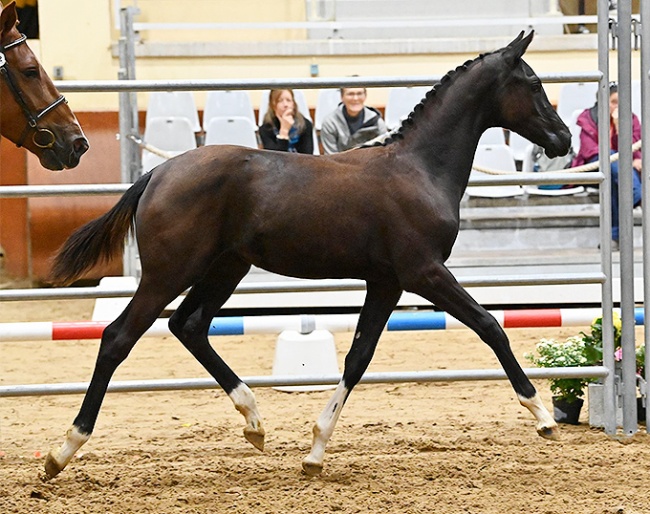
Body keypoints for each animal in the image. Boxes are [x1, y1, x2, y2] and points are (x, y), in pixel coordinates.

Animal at [44, 31, 571, 479]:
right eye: (534, 83)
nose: (563, 139)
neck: (419, 167)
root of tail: (157, 173)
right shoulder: (424, 272)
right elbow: (490, 326)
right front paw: (542, 415)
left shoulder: (387, 281)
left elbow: (358, 357)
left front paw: (315, 453)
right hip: (169, 272)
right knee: (118, 337)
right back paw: (62, 451)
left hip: (226, 267)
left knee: (188, 325)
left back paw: (254, 421)